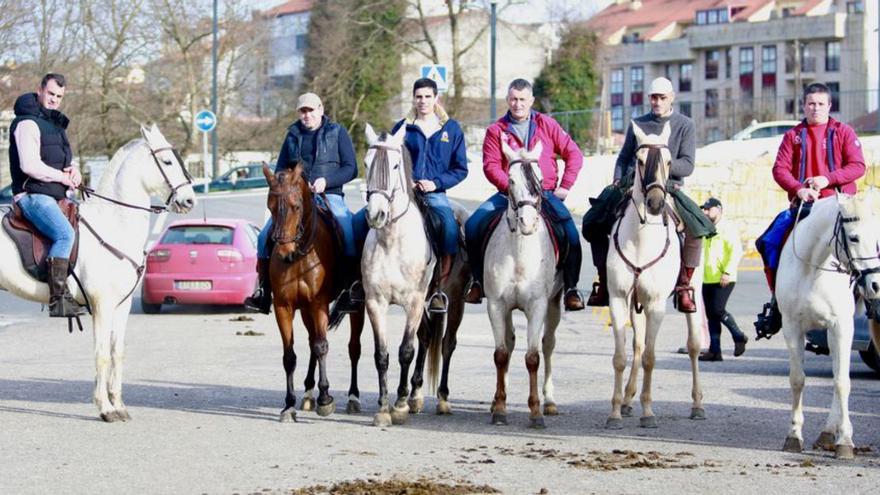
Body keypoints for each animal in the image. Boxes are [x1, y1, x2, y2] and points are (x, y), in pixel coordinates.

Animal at [0, 124, 194, 422]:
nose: (189, 200)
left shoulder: (121, 306)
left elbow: (117, 351)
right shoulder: (102, 304)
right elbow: (101, 354)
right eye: (168, 161)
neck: (114, 223)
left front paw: (119, 404)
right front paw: (105, 408)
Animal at [604, 121, 708, 430]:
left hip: (693, 292)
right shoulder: (618, 299)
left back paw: (697, 405)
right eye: (639, 160)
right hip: (634, 304)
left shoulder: (656, 304)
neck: (640, 239)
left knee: (694, 345)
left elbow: (650, 358)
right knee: (637, 346)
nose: (654, 203)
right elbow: (621, 356)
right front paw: (615, 412)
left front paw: (648, 413)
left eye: (669, 161)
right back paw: (628, 400)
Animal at [776, 194, 880, 462]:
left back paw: (831, 431)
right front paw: (794, 435)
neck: (813, 269)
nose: (876, 285)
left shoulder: (842, 327)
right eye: (853, 238)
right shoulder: (792, 327)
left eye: (877, 239)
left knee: (838, 377)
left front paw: (845, 441)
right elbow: (797, 380)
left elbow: (842, 381)